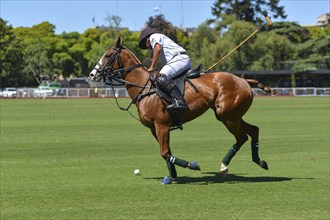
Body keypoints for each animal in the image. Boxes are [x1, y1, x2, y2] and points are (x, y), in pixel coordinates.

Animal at [89, 37, 270, 181]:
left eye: (107, 55)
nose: (92, 75)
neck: (143, 87)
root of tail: (244, 81)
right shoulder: (155, 129)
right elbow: (167, 152)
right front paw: (172, 175)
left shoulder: (162, 125)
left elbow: (164, 153)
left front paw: (192, 165)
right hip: (233, 115)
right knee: (254, 130)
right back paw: (260, 162)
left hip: (227, 116)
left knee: (242, 137)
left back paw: (224, 165)